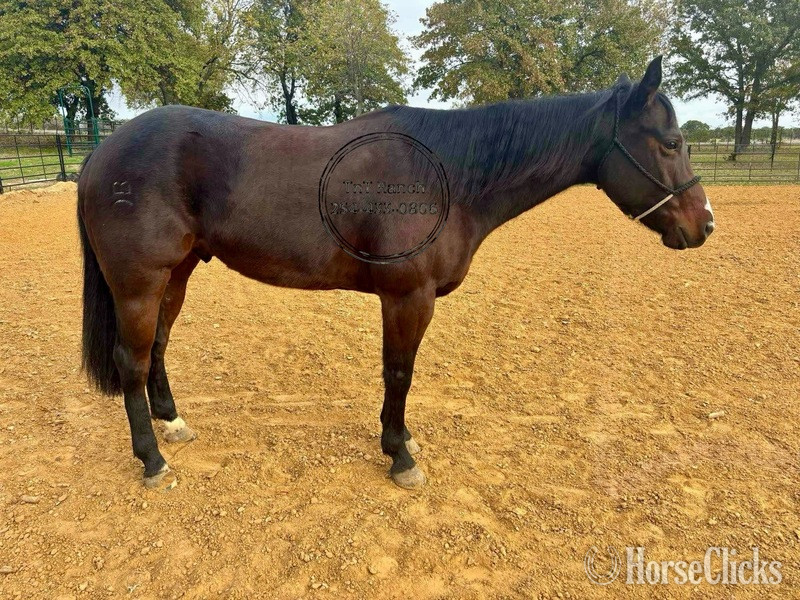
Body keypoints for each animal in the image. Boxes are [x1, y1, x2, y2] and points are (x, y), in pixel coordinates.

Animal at [77, 56, 714, 489]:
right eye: (670, 142)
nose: (704, 224)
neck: (450, 175)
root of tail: (103, 151)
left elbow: (399, 375)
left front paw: (400, 438)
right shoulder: (408, 297)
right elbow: (399, 373)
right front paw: (400, 455)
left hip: (177, 274)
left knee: (158, 347)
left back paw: (173, 424)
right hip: (139, 283)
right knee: (131, 361)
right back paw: (152, 460)